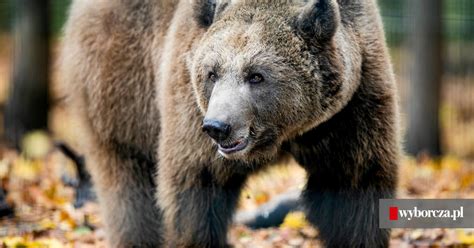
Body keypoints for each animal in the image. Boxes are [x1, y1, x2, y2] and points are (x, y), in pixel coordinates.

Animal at [60, 0, 400, 246]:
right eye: (212, 72)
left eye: (256, 75)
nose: (217, 126)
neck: (285, 134)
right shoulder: (189, 111)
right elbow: (196, 190)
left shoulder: (350, 109)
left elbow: (355, 185)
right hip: (123, 86)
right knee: (128, 182)